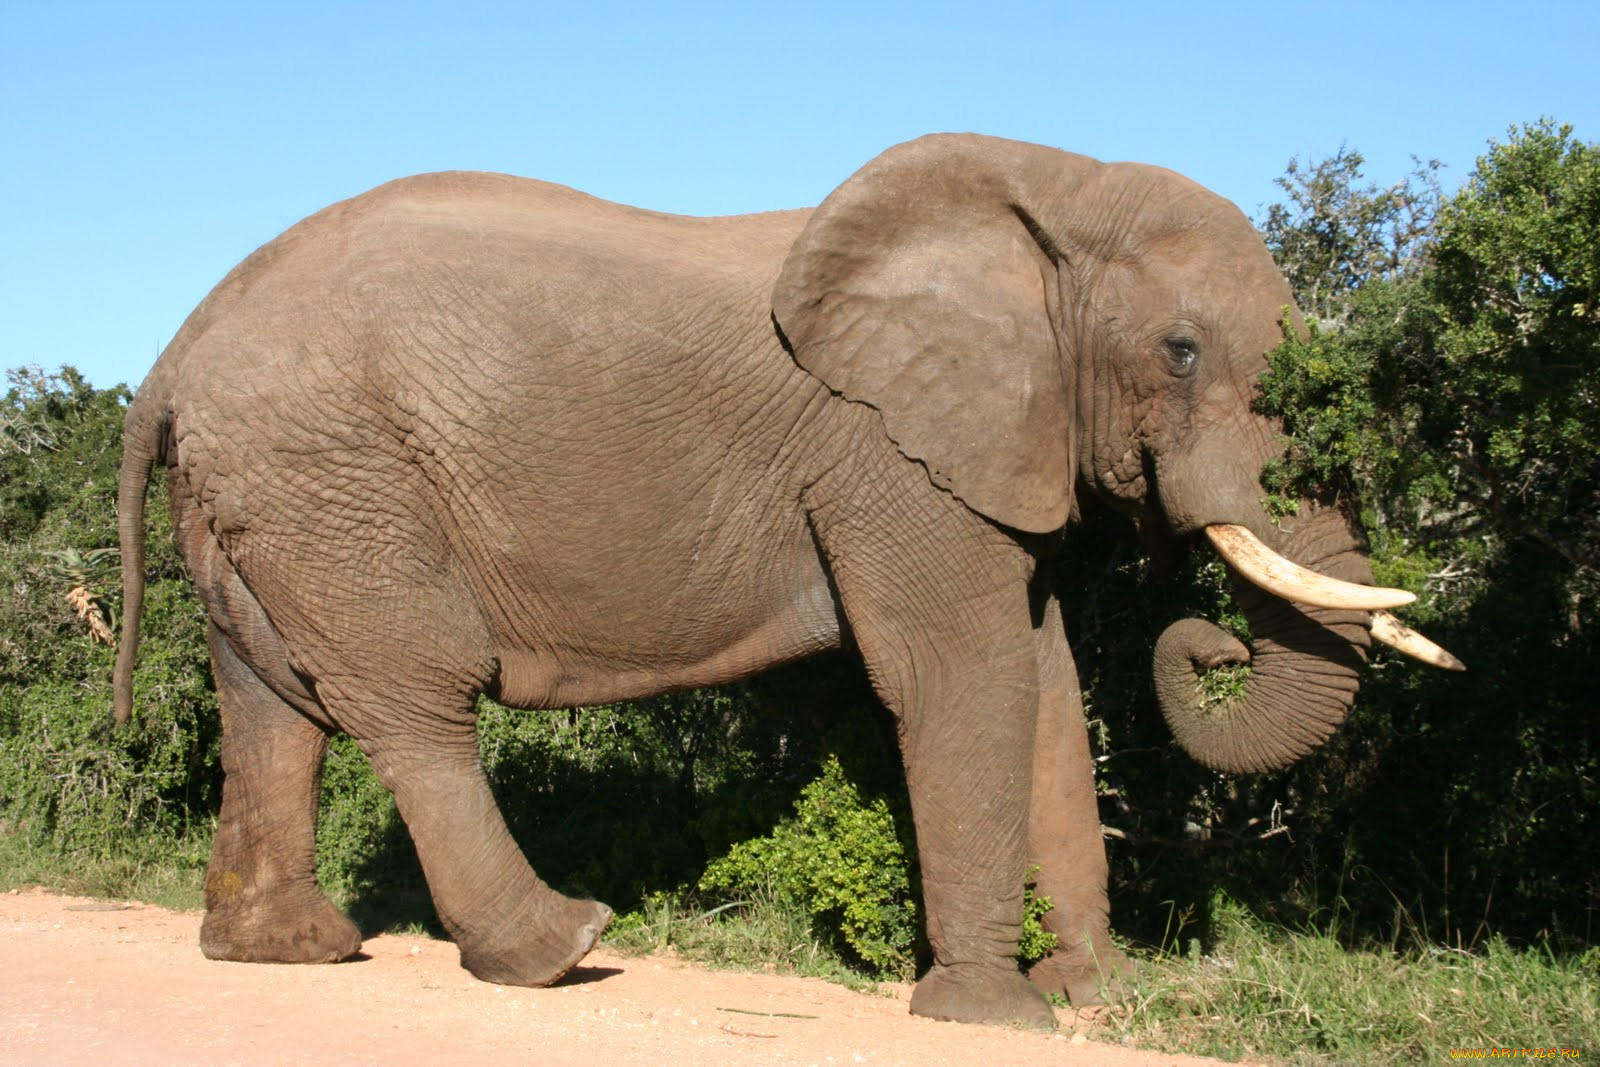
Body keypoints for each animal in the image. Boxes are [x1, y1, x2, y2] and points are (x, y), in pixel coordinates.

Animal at [118, 133, 1459, 1023]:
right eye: (1180, 352)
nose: (1208, 642)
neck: (1044, 194)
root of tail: (173, 353)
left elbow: (1042, 682)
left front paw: (1096, 996)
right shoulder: (884, 455)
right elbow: (958, 676)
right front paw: (989, 1015)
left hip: (264, 496)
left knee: (269, 707)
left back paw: (286, 948)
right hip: (339, 479)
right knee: (411, 699)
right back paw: (561, 945)